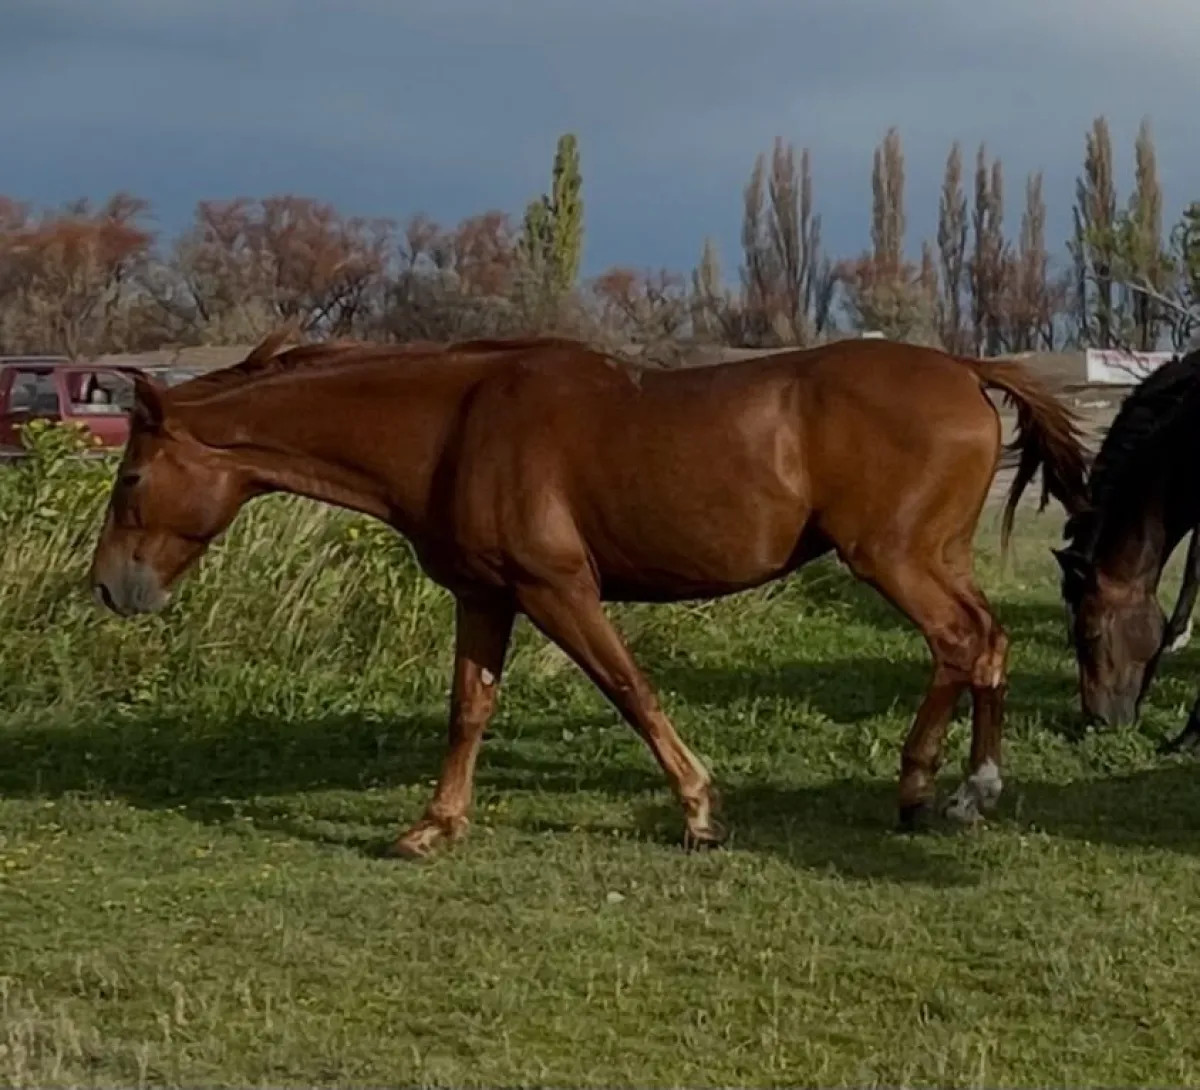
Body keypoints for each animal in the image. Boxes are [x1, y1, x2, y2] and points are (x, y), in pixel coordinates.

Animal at [88, 332, 1089, 857]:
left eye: (132, 477)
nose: (109, 587)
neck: (455, 427)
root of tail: (964, 370)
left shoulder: (556, 588)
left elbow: (628, 689)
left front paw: (698, 808)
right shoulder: (486, 598)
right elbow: (468, 710)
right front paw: (433, 825)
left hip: (894, 559)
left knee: (962, 645)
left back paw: (941, 791)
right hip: (932, 557)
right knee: (983, 645)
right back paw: (949, 788)